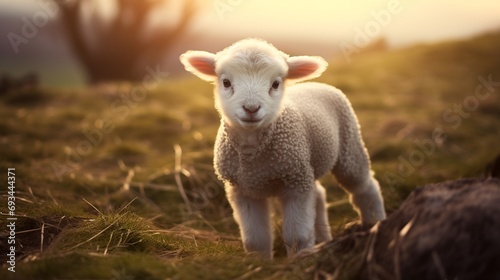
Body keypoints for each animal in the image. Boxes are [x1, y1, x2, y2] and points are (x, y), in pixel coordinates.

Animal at [180, 38, 386, 258]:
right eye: (226, 82)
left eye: (275, 84)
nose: (251, 108)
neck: (253, 155)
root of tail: (315, 84)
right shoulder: (243, 190)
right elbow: (255, 240)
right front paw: (260, 261)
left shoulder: (295, 183)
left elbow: (297, 236)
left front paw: (299, 259)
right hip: (308, 165)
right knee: (319, 194)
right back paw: (325, 237)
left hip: (348, 146)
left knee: (365, 186)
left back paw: (374, 221)